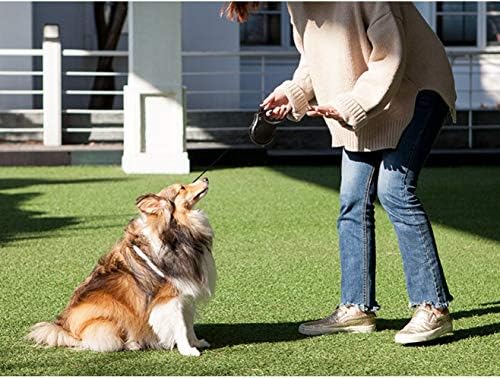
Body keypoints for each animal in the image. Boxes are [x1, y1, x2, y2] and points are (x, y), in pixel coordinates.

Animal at [26, 178, 215, 356]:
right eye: (181, 188)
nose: (205, 179)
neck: (177, 230)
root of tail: (65, 329)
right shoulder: (169, 298)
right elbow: (180, 326)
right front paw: (188, 351)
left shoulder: (185, 294)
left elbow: (188, 323)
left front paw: (196, 343)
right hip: (111, 320)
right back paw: (132, 344)